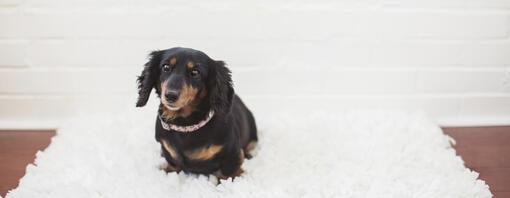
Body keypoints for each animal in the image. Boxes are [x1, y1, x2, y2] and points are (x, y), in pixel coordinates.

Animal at [135, 47, 256, 179]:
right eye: (166, 67)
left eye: (195, 72)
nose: (170, 95)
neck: (184, 125)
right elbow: (172, 163)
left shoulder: (233, 154)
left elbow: (227, 173)